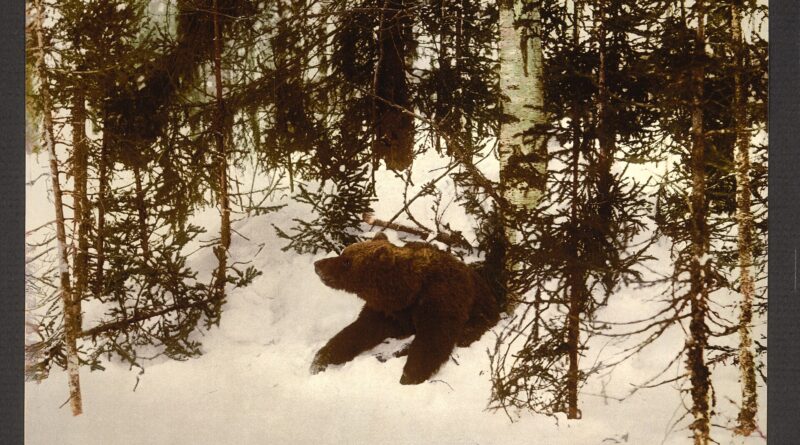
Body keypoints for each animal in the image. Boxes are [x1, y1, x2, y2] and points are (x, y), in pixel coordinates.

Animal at [310, 232, 501, 384]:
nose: (318, 264)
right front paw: (320, 360)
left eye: (347, 261)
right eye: (344, 253)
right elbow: (358, 331)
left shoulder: (440, 298)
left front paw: (409, 376)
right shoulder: (387, 311)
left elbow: (434, 337)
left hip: (481, 313)